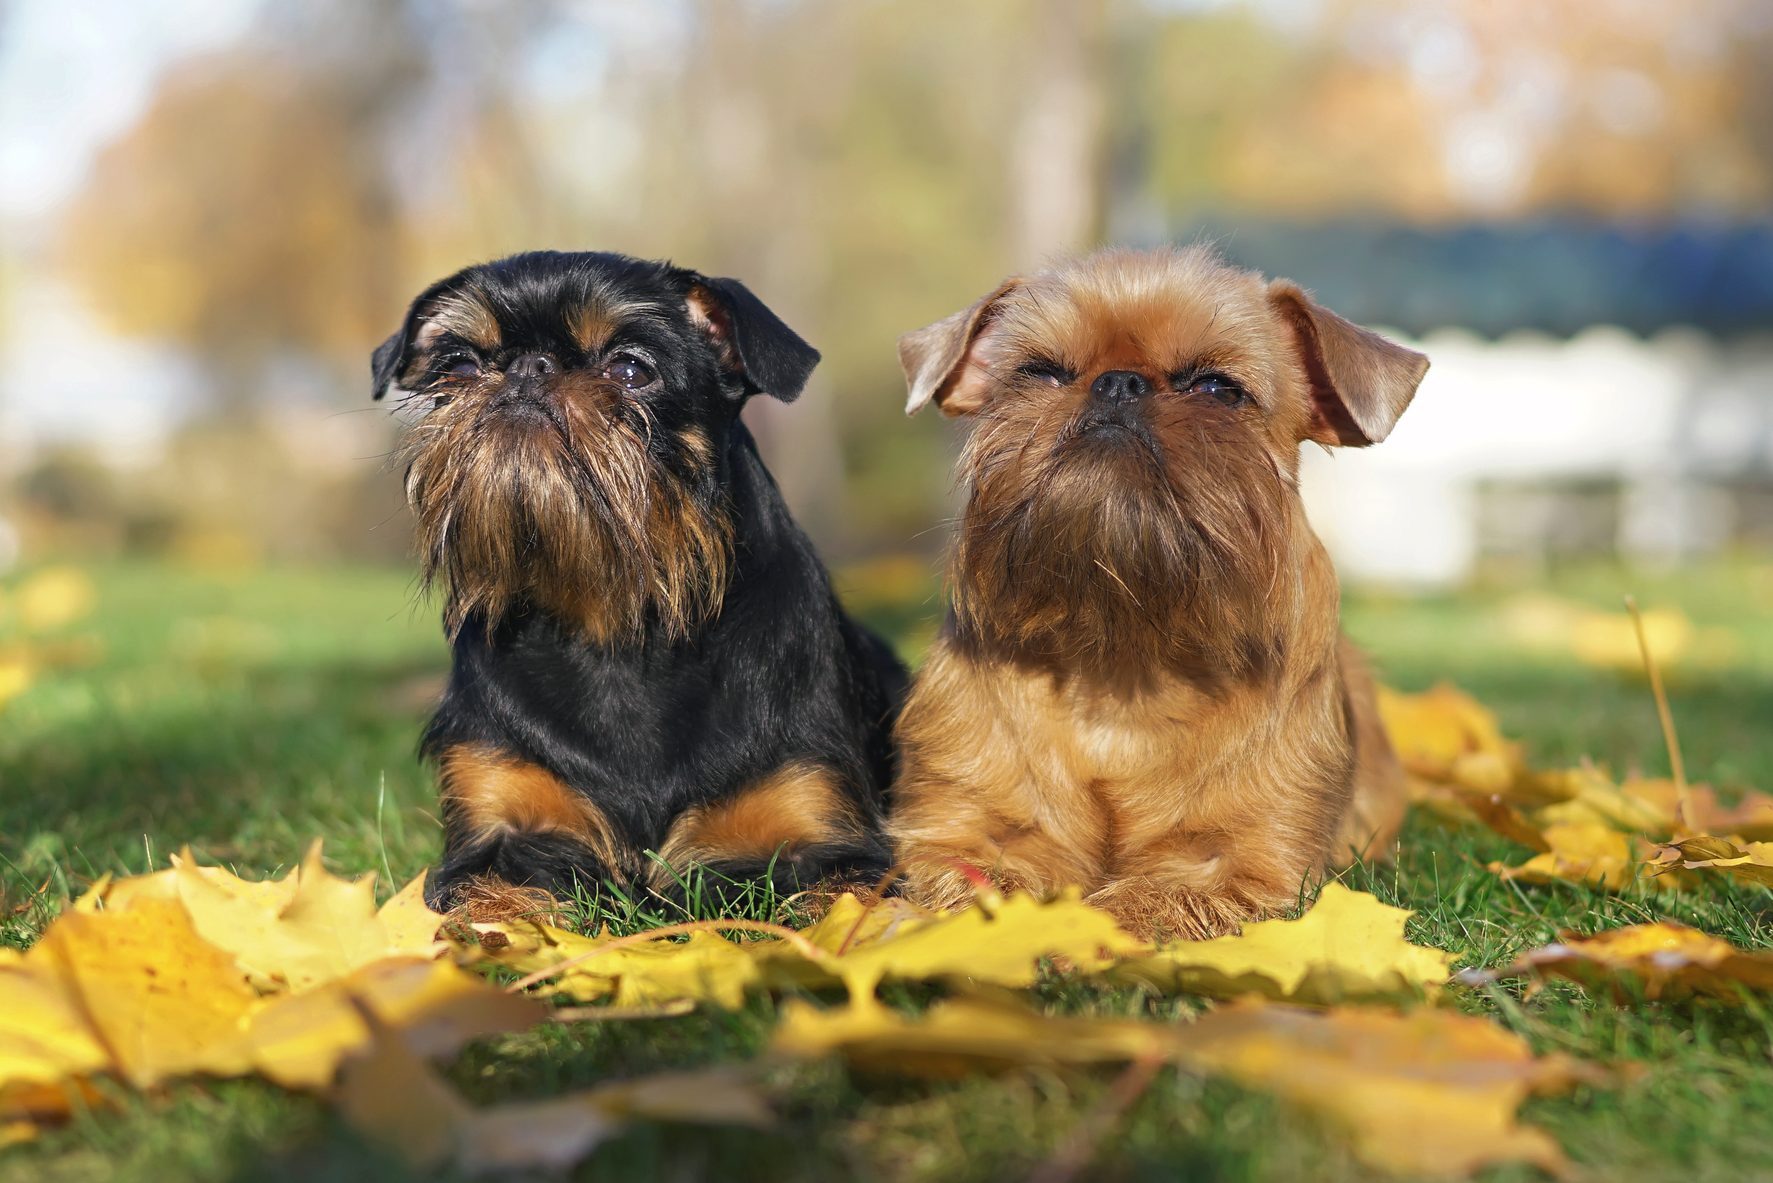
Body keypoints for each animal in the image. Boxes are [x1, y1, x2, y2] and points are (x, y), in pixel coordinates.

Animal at [368, 250, 907, 915]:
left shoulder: (827, 842)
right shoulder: (499, 837)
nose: (526, 368)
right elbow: (488, 912)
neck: (617, 628)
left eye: (630, 369)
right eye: (462, 367)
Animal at [886, 244, 1425, 936]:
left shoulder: (1243, 864)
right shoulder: (965, 834)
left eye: (1218, 388)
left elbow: (1148, 900)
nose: (1119, 382)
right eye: (1041, 373)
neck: (1123, 657)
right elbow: (977, 883)